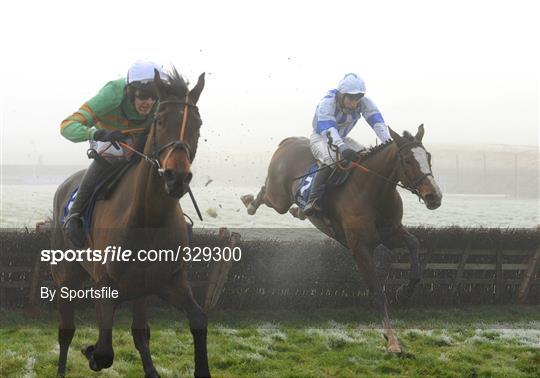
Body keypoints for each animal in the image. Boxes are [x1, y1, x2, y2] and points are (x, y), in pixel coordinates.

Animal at [50, 68, 210, 378]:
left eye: (198, 124)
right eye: (159, 121)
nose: (176, 177)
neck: (148, 219)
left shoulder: (170, 282)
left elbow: (197, 319)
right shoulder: (105, 287)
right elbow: (104, 352)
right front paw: (90, 351)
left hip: (139, 290)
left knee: (139, 333)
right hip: (67, 275)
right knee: (65, 330)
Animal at [242, 125, 442, 352]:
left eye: (428, 156)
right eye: (407, 160)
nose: (434, 196)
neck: (372, 192)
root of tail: (289, 141)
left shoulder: (390, 234)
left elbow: (414, 245)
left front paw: (404, 292)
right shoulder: (359, 247)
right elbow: (377, 291)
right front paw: (392, 339)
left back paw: (299, 210)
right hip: (279, 198)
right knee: (265, 193)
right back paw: (249, 202)